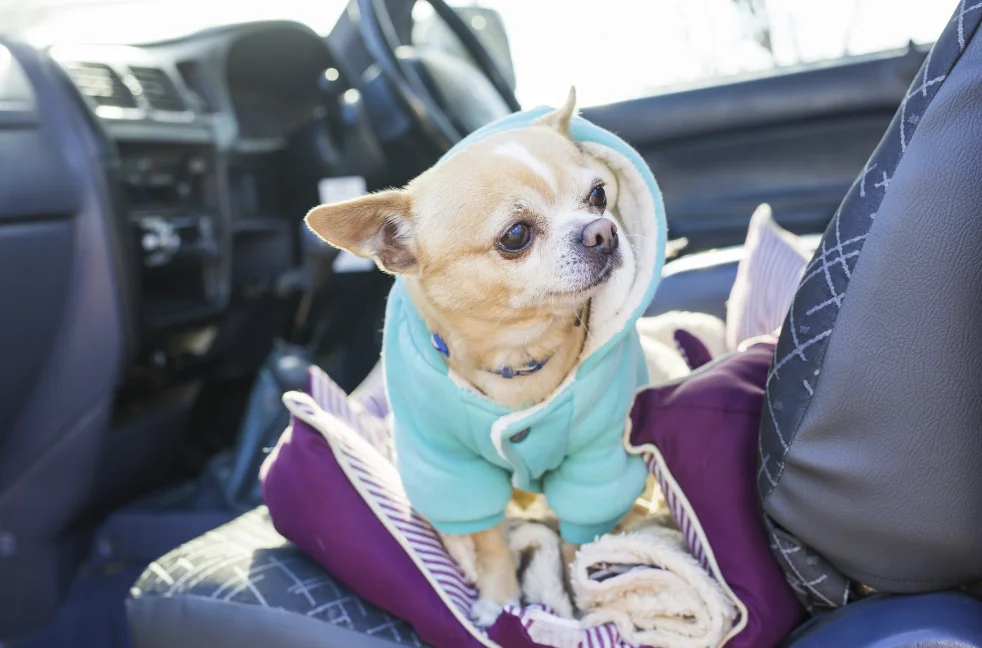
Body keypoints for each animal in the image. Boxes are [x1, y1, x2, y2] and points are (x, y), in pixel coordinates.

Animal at [304, 88, 636, 620]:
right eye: (516, 235)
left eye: (599, 195)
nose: (602, 230)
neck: (517, 355)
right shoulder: (455, 471)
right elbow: (489, 541)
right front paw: (499, 599)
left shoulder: (595, 459)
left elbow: (576, 538)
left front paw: (577, 599)